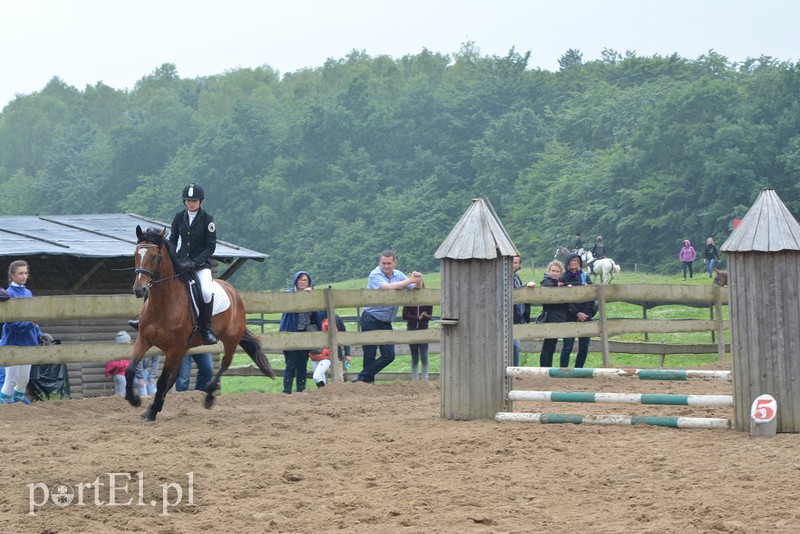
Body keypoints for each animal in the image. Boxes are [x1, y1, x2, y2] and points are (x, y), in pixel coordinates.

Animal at [126, 226, 276, 422]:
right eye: (136, 254)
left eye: (155, 256)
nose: (139, 289)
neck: (163, 304)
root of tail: (233, 292)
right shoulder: (144, 340)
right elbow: (130, 370)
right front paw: (135, 401)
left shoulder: (173, 348)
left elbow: (161, 381)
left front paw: (149, 412)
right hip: (184, 349)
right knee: (174, 378)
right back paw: (154, 407)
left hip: (229, 339)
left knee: (225, 364)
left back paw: (209, 397)